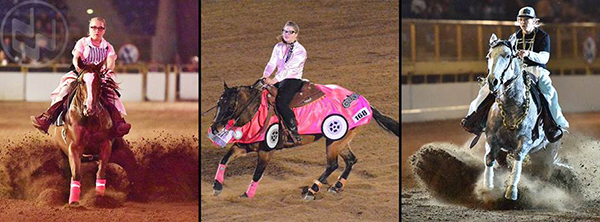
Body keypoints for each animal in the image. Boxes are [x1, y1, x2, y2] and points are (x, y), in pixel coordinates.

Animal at [206, 79, 398, 199]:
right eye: (218, 103)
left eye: (230, 105)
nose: (215, 128)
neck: (257, 110)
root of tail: (366, 104)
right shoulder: (245, 146)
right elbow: (224, 159)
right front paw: (216, 187)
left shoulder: (266, 151)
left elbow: (258, 173)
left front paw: (247, 194)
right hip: (341, 142)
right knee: (351, 160)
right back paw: (336, 187)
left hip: (334, 141)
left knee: (332, 165)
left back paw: (312, 191)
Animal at [480, 33, 560, 201]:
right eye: (488, 56)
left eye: (508, 55)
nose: (493, 81)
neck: (511, 107)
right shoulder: (491, 139)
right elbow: (489, 159)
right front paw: (488, 188)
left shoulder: (524, 143)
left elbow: (517, 161)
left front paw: (511, 191)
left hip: (548, 155)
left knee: (543, 173)